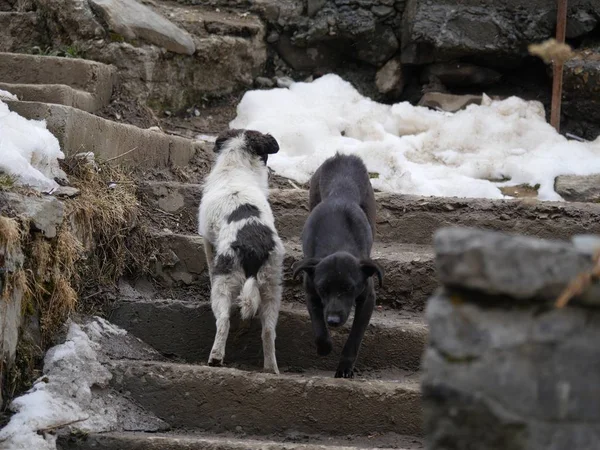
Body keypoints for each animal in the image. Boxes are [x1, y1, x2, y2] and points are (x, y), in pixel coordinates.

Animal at [198, 129, 284, 372]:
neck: (236, 168)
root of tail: (254, 247)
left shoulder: (207, 240)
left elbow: (209, 264)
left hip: (225, 282)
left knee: (223, 321)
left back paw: (215, 357)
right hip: (272, 286)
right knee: (268, 331)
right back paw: (271, 368)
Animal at [292, 153, 384, 378]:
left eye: (349, 288)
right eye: (323, 289)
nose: (333, 320)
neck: (337, 245)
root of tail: (344, 157)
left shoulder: (368, 298)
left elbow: (355, 337)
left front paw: (344, 367)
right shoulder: (311, 291)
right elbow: (318, 326)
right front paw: (324, 347)